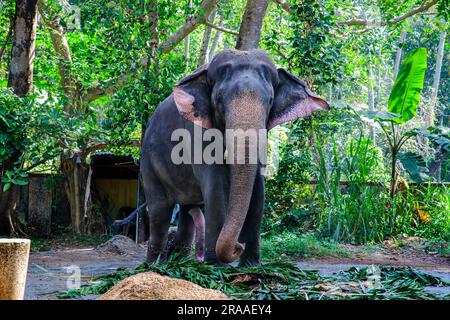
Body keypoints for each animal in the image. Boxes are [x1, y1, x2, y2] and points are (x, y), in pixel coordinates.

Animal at [141, 48, 326, 266]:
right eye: (219, 99)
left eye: (270, 100)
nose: (239, 246)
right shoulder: (197, 133)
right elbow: (215, 186)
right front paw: (216, 265)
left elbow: (258, 188)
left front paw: (251, 264)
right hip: (148, 163)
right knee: (159, 210)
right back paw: (154, 265)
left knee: (188, 210)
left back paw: (178, 261)